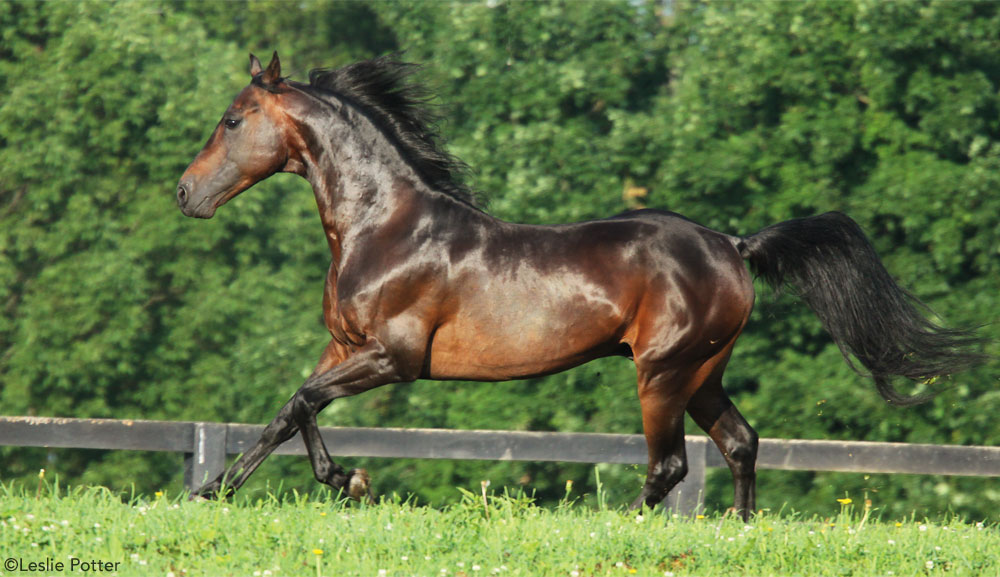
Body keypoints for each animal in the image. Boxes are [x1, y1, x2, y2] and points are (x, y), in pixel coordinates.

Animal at [176, 50, 980, 516]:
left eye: (233, 119)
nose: (185, 194)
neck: (384, 226)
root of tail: (732, 244)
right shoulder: (344, 348)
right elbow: (291, 409)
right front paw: (232, 487)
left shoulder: (392, 358)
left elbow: (300, 403)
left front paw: (333, 482)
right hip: (703, 372)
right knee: (741, 443)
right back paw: (741, 529)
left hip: (663, 372)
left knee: (670, 465)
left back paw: (620, 524)